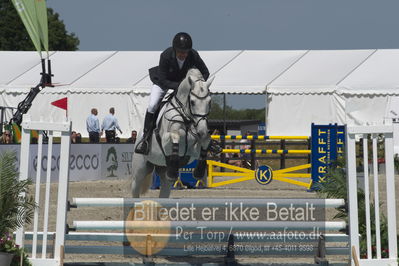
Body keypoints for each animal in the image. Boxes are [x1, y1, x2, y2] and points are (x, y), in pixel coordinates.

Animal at [132, 68, 214, 197]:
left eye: (209, 102)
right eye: (192, 102)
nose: (202, 130)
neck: (187, 118)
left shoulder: (194, 150)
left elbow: (205, 141)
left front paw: (199, 171)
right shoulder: (166, 141)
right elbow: (176, 135)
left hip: (163, 174)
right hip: (139, 171)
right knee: (136, 188)